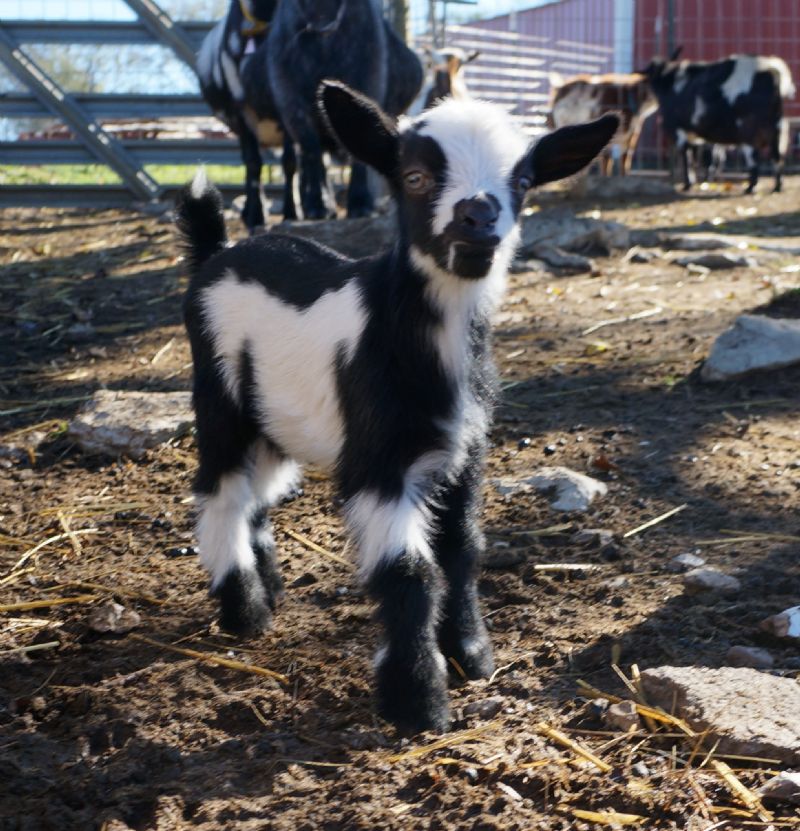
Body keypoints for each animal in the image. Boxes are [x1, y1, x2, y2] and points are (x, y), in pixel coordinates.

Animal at [176, 81, 617, 732]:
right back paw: (244, 610)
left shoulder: (464, 450)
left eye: (523, 180)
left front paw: (471, 655)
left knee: (260, 488)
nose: (478, 217)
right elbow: (409, 570)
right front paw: (418, 701)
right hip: (219, 393)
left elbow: (462, 548)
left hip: (276, 416)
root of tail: (216, 252)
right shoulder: (379, 461)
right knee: (221, 490)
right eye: (414, 177)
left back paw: (269, 586)